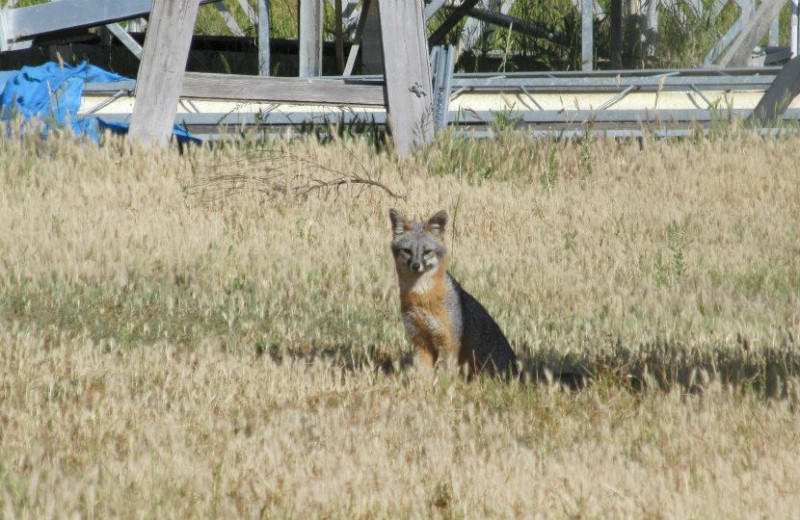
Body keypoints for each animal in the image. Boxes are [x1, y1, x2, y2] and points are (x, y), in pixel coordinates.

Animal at [390, 208, 520, 378]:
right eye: (407, 251)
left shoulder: (448, 343)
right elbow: (423, 374)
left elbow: (444, 374)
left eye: (427, 252)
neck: (421, 297)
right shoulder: (420, 341)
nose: (416, 265)